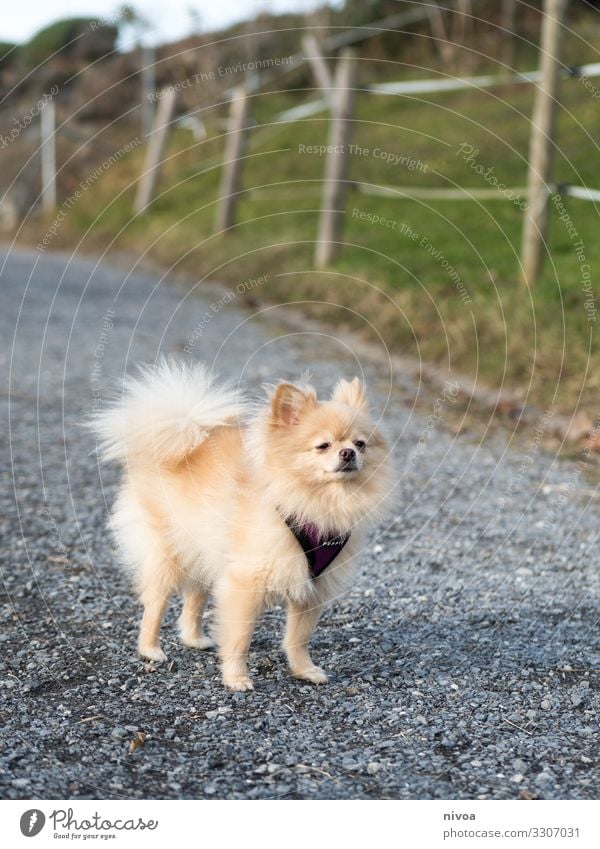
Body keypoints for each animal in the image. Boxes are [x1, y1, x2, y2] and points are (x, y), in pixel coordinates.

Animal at [92, 358, 394, 688]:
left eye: (361, 444)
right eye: (323, 446)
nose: (348, 453)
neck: (317, 500)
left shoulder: (313, 586)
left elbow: (298, 638)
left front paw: (304, 670)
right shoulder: (247, 582)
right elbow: (240, 637)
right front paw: (236, 678)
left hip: (204, 547)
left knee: (194, 597)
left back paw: (194, 638)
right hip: (168, 553)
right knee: (155, 603)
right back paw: (150, 649)